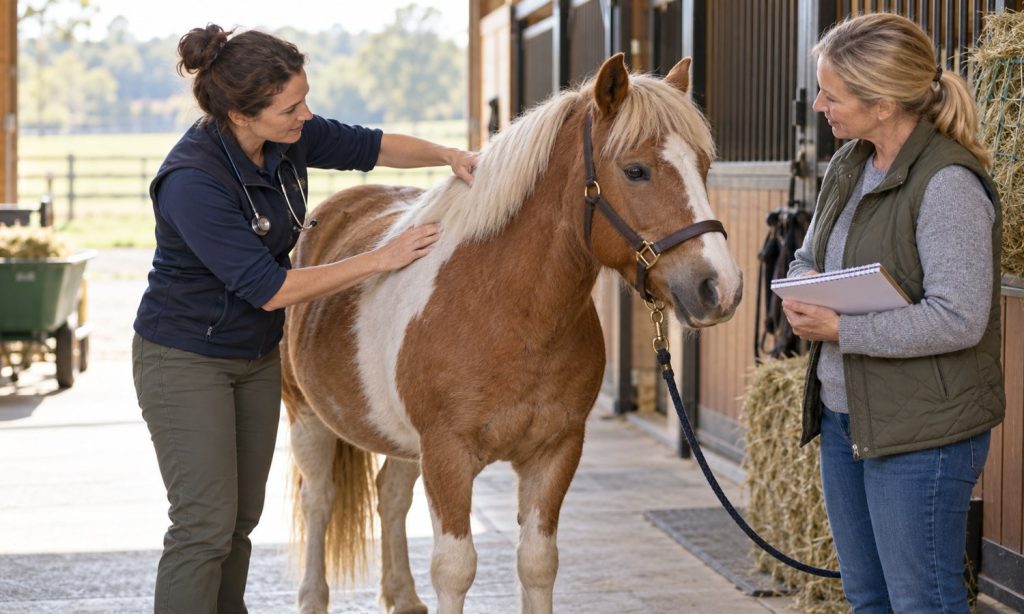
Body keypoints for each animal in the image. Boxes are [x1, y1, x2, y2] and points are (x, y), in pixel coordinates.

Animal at [280, 53, 743, 614]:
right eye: (636, 170)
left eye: (704, 166)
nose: (720, 287)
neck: (511, 315)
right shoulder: (447, 456)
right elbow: (455, 569)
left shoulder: (555, 451)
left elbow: (538, 563)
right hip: (305, 414)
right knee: (319, 499)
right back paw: (312, 597)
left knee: (390, 494)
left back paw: (402, 595)